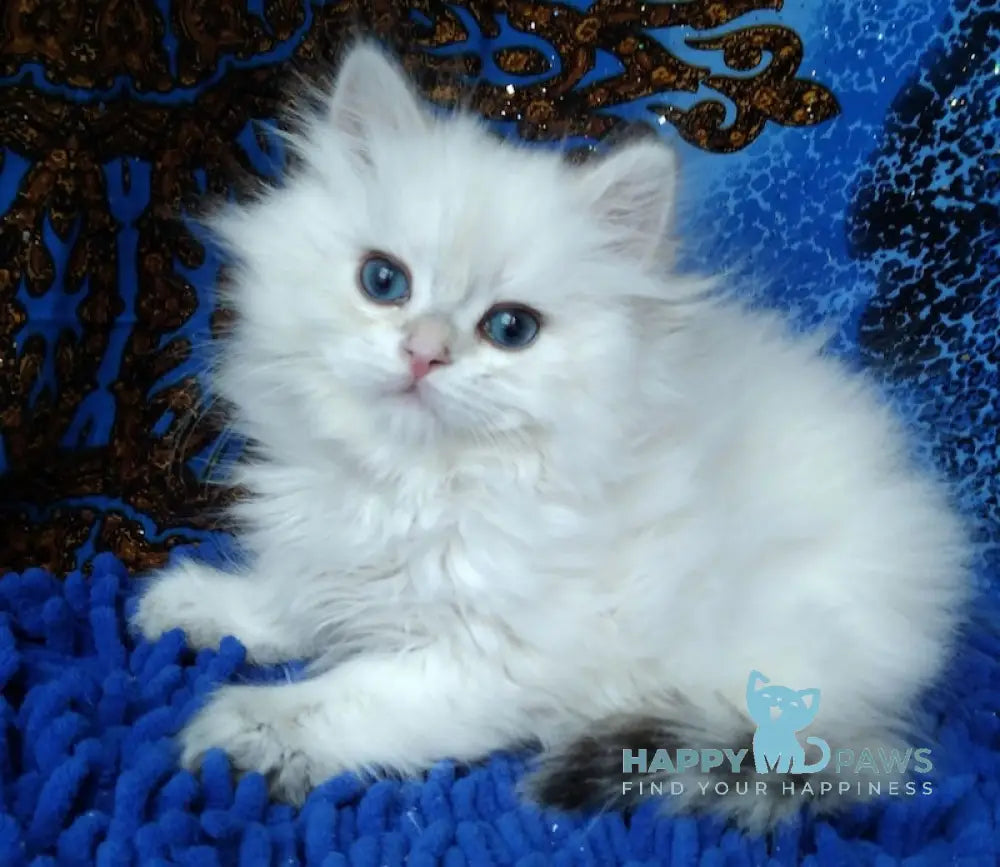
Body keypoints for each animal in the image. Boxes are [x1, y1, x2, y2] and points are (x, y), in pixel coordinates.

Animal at [133, 42, 968, 836]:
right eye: (383, 281)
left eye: (511, 328)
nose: (424, 353)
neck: (409, 480)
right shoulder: (327, 551)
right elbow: (290, 599)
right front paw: (201, 606)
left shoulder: (494, 662)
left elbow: (348, 694)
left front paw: (247, 724)